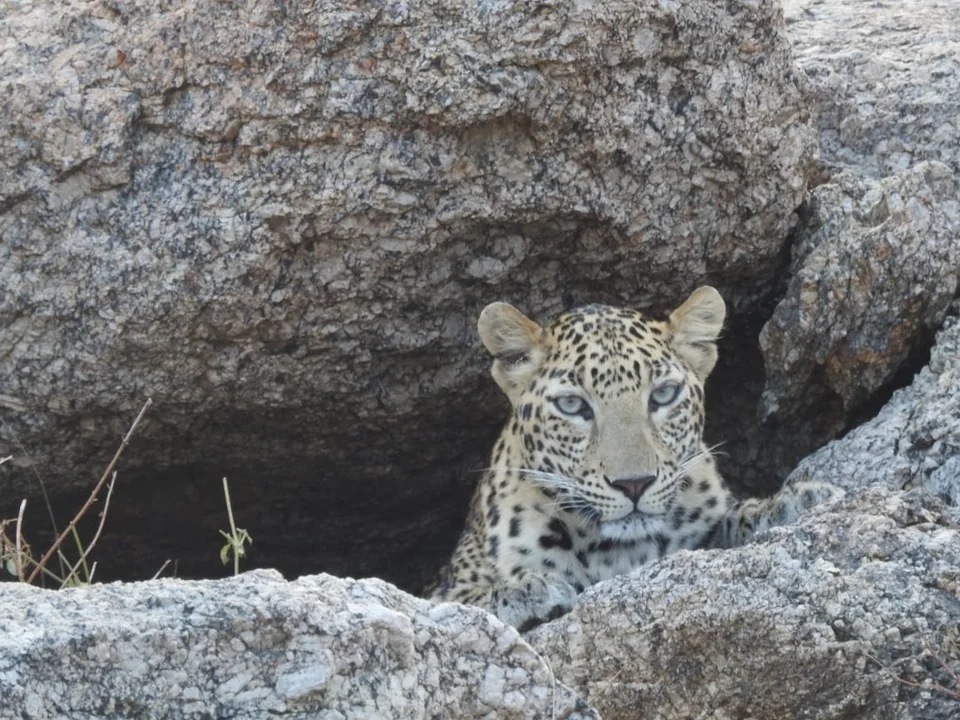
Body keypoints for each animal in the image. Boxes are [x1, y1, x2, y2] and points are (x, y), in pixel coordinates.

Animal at [425, 286, 843, 631]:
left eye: (663, 395)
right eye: (572, 404)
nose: (634, 484)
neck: (618, 553)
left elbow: (729, 521)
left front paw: (793, 501)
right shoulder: (445, 586)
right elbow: (459, 602)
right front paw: (527, 590)